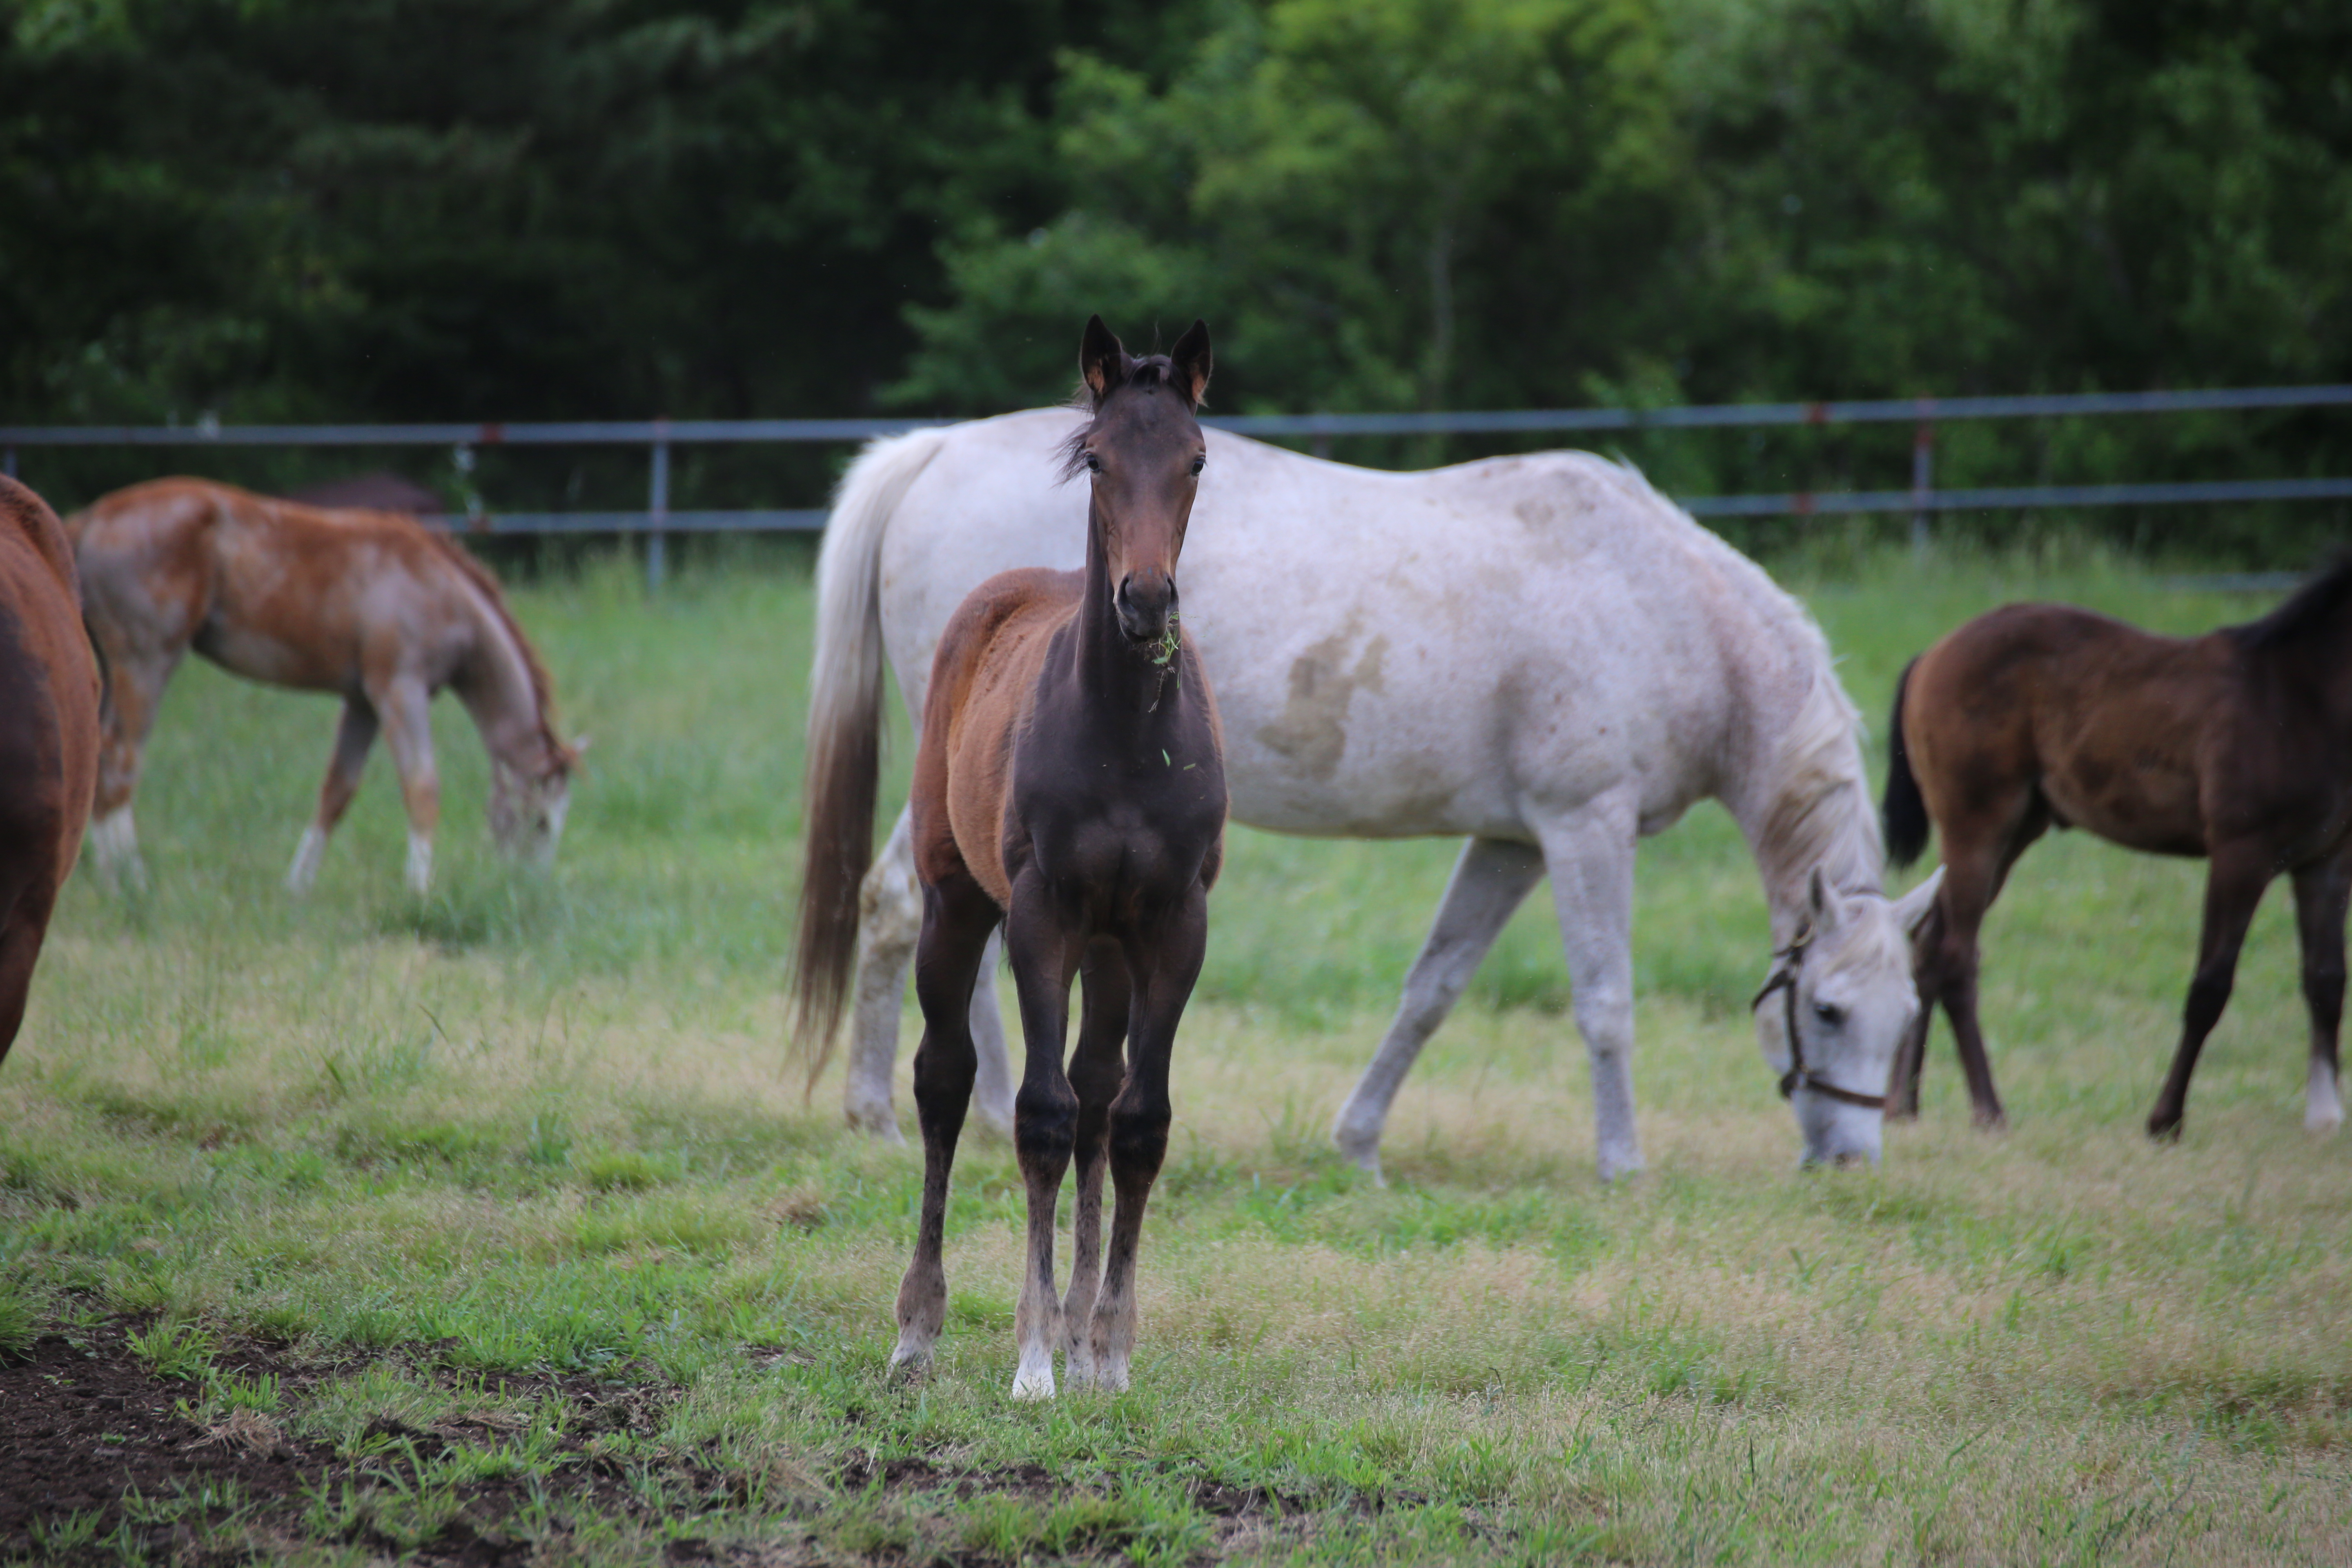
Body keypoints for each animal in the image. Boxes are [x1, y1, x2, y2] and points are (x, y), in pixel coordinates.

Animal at [70, 479, 578, 893]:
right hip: (146, 664)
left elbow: (337, 792)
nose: (529, 888)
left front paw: (298, 887)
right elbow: (422, 788)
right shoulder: (400, 691)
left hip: (112, 671)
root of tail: (90, 521)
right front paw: (419, 890)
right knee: (120, 761)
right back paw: (129, 883)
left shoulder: (363, 703)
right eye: (540, 822)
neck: (438, 588)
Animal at [795, 315, 1232, 1401]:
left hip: (1110, 951)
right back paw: (918, 1330)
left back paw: (1077, 1336)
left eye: (1197, 459)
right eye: (1097, 458)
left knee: (1097, 1093)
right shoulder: (1043, 911)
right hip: (958, 904)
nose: (1145, 601)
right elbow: (1036, 1115)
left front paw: (1105, 1351)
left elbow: (1138, 1120)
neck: (1127, 737)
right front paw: (1033, 1361)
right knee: (946, 1080)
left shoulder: (1174, 922)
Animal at [800, 409, 1938, 1175]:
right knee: (910, 909)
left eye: (1907, 1018)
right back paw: (904, 1111)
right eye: (1827, 1009)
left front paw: (1358, 1143)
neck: (1663, 604)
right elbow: (1605, 1002)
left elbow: (1431, 990)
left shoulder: (1512, 842)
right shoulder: (1586, 826)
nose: (1850, 1161)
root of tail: (934, 451)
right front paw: (1622, 1164)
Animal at [1882, 561, 2352, 1142]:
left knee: (1926, 942)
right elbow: (2210, 987)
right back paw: (1988, 1110)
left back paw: (1903, 1103)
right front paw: (2165, 1121)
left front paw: (2326, 1115)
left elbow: (2327, 978)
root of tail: (1931, 655)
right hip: (1977, 827)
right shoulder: (2242, 854)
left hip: (2016, 832)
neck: (2302, 697)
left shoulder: (2326, 859)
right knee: (1955, 958)